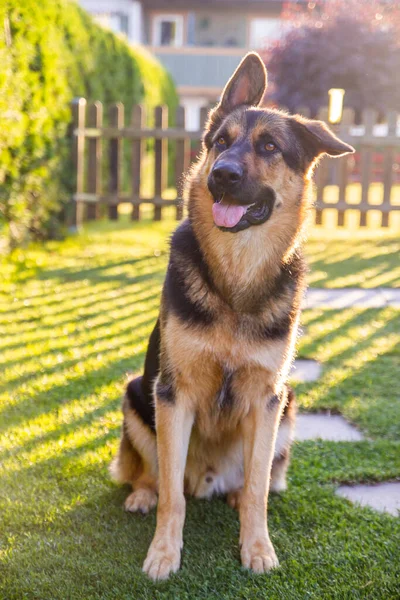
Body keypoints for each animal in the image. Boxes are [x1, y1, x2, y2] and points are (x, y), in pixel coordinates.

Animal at [110, 52, 354, 580]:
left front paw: (257, 548)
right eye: (221, 142)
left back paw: (235, 495)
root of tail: (208, 479)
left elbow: (260, 488)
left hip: (288, 407)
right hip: (138, 394)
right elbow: (172, 498)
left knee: (253, 481)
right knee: (156, 476)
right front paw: (164, 553)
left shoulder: (266, 398)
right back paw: (142, 493)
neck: (237, 273)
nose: (221, 174)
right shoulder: (172, 395)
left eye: (269, 147)